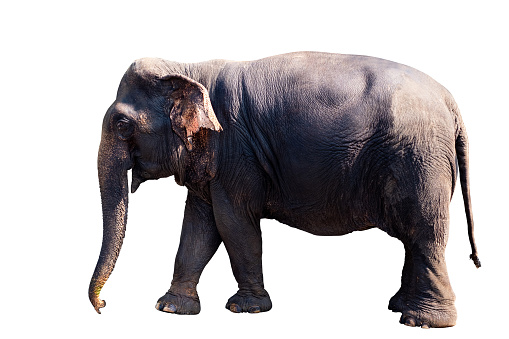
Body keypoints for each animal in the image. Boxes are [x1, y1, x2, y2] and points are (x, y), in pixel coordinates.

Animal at [88, 51, 480, 330]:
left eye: (122, 125)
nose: (103, 306)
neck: (189, 69)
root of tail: (451, 102)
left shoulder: (236, 152)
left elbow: (234, 223)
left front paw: (244, 309)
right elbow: (199, 226)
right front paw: (170, 308)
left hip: (419, 161)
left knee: (424, 233)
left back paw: (422, 321)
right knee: (414, 238)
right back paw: (401, 307)